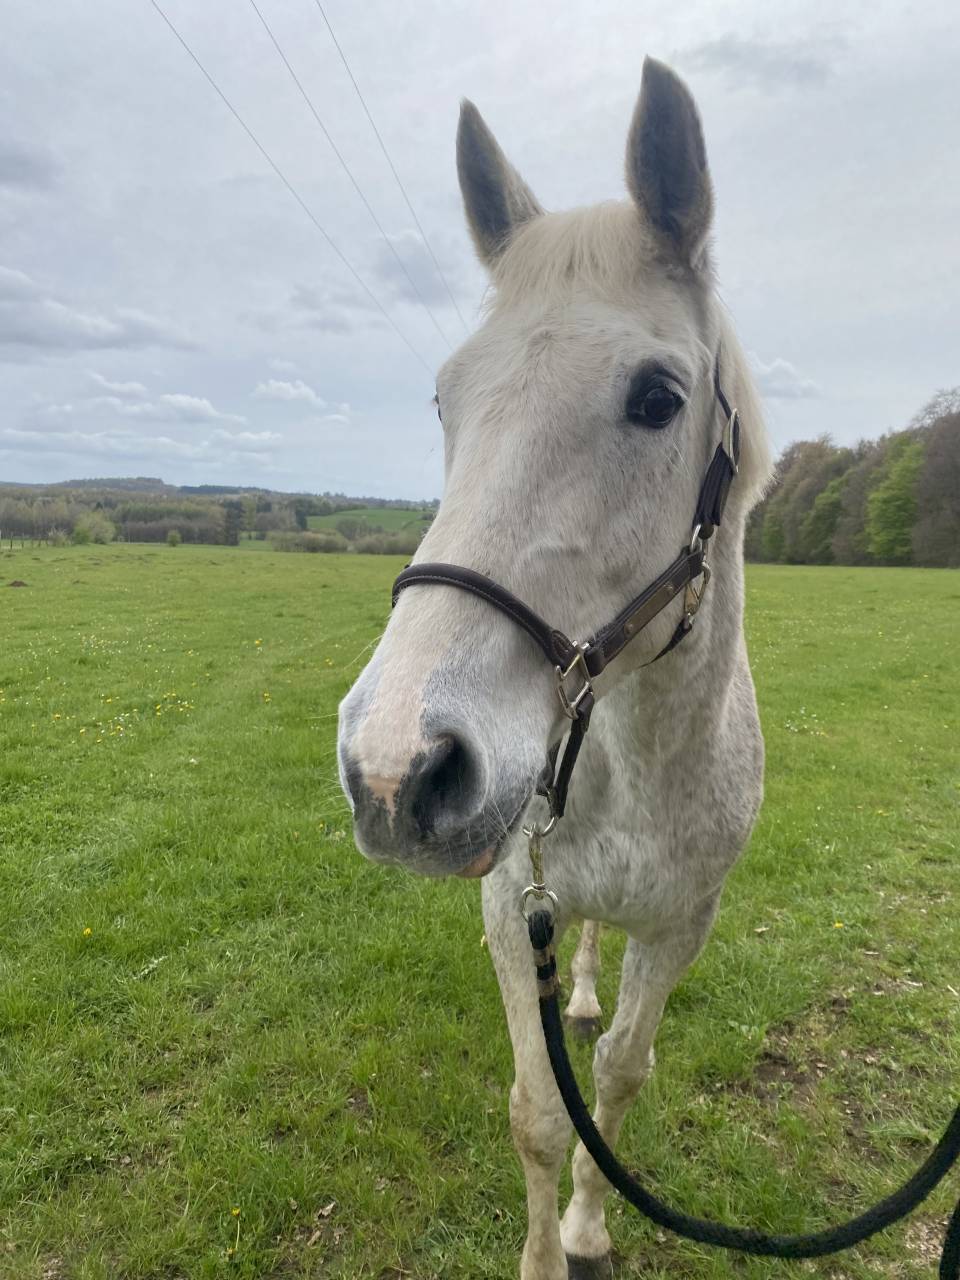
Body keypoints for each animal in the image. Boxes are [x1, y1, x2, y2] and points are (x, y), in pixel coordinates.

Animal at [337, 57, 774, 1280]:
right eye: (446, 397)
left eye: (658, 398)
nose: (394, 769)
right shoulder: (505, 911)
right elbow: (538, 1113)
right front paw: (542, 1253)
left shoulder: (681, 926)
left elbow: (618, 1079)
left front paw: (584, 1228)